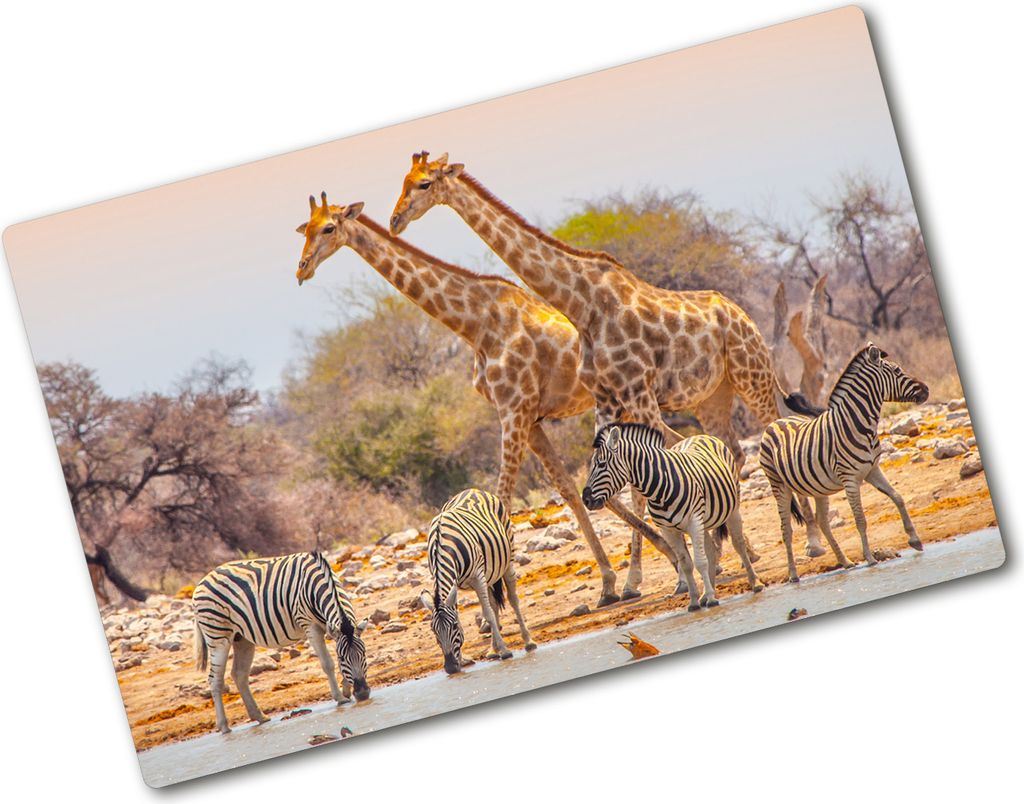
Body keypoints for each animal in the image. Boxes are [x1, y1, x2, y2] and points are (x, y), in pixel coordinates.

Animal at [193, 551, 370, 734]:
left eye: (364, 654)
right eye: (343, 658)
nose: (363, 694)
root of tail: (202, 581)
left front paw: (346, 690)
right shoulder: (310, 626)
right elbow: (327, 663)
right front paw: (340, 697)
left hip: (241, 638)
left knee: (239, 674)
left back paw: (259, 717)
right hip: (217, 636)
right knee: (215, 680)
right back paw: (224, 726)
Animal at [418, 488, 536, 674]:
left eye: (453, 627)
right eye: (434, 631)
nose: (450, 668)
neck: (442, 546)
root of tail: (473, 490)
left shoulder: (477, 577)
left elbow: (487, 614)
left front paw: (505, 651)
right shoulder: (455, 583)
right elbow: (480, 612)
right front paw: (463, 659)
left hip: (507, 558)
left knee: (512, 599)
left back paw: (528, 641)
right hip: (488, 574)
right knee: (493, 604)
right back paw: (492, 650)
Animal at [581, 424, 763, 611]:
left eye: (602, 464)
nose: (585, 499)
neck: (658, 490)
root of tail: (698, 436)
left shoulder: (693, 521)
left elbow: (700, 562)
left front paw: (711, 599)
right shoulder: (668, 530)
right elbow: (687, 564)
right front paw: (695, 602)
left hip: (732, 508)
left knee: (737, 544)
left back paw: (755, 583)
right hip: (703, 523)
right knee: (711, 552)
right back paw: (706, 595)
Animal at [759, 343, 929, 582]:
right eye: (897, 370)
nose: (927, 389)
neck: (859, 425)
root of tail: (775, 422)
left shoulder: (872, 470)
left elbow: (898, 498)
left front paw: (915, 540)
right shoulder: (850, 479)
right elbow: (860, 519)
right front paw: (870, 558)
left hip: (817, 487)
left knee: (822, 521)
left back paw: (845, 562)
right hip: (779, 486)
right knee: (786, 530)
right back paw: (793, 575)